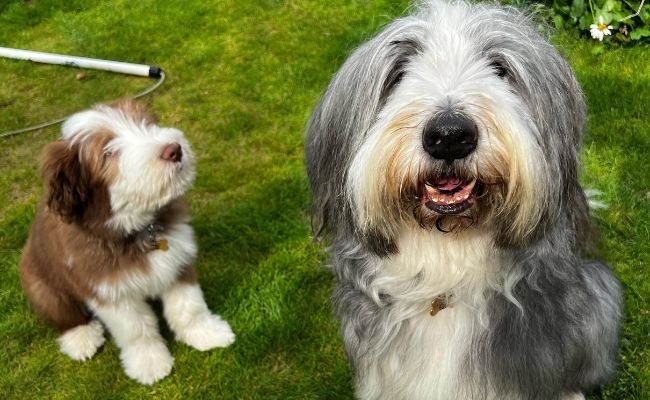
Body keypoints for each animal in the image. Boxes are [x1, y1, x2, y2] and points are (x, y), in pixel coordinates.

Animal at [20, 99, 235, 384]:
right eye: (107, 153)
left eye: (145, 122)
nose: (174, 150)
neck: (137, 229)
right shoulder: (107, 288)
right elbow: (136, 329)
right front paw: (151, 364)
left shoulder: (177, 258)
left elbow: (189, 306)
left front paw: (208, 334)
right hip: (41, 286)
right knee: (67, 316)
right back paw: (81, 340)